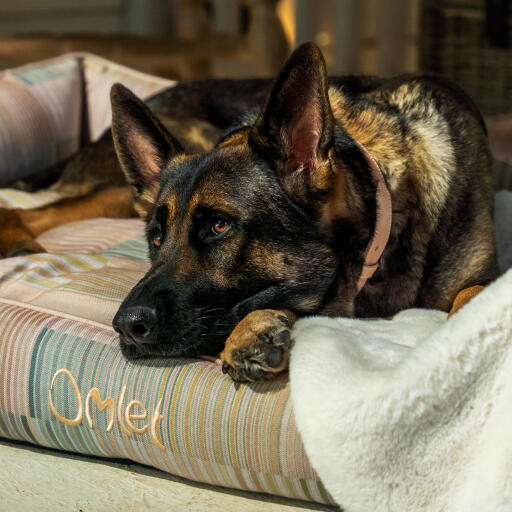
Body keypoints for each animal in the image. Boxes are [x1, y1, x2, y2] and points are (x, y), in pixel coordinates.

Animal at [0, 44, 498, 380]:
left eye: (219, 226)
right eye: (155, 237)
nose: (124, 328)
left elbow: (472, 298)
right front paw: (252, 330)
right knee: (36, 209)